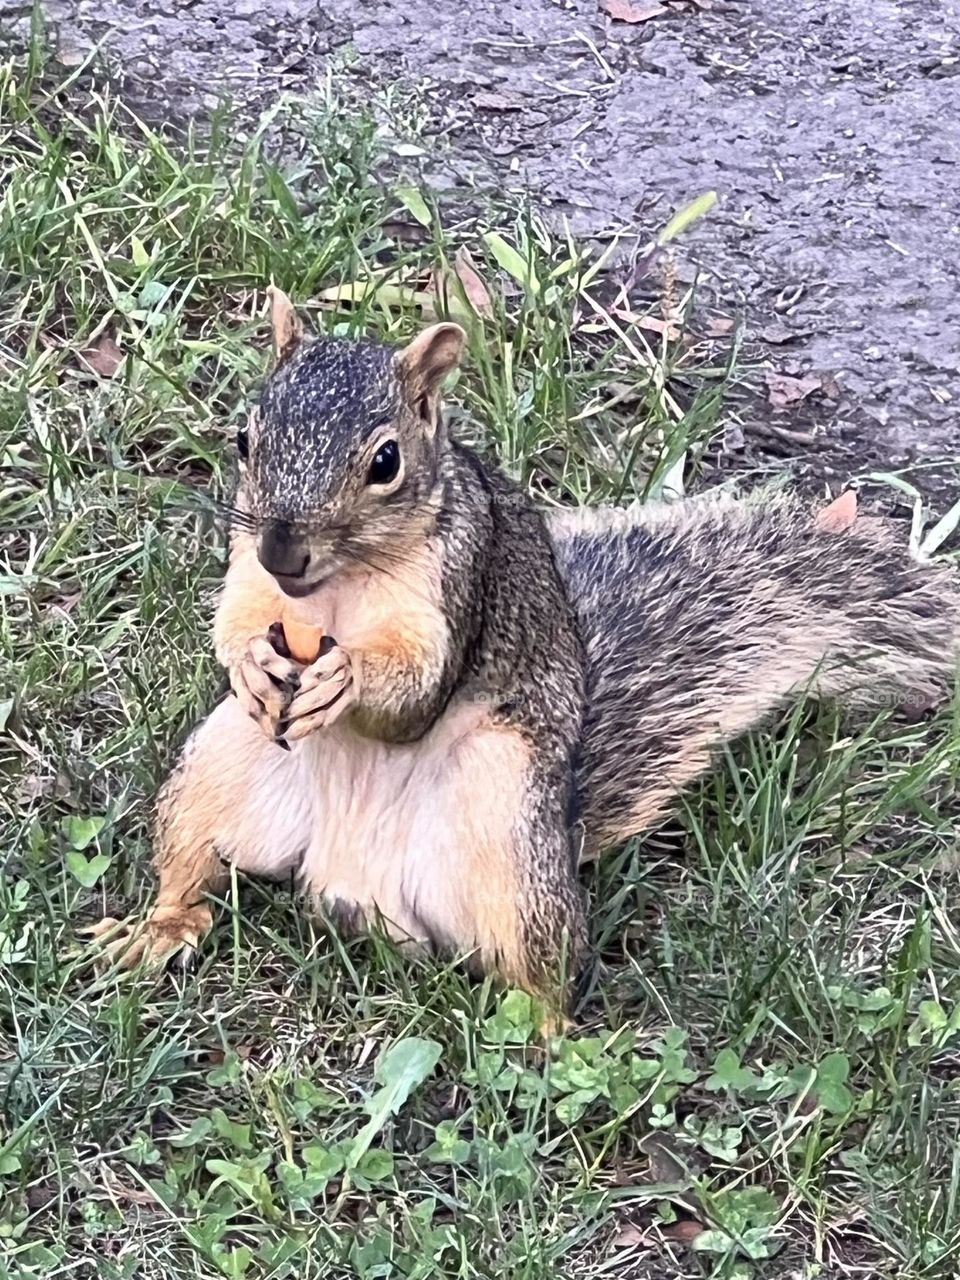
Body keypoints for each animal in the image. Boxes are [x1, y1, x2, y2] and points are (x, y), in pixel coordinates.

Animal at [90, 288, 960, 1026]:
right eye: (245, 439)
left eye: (385, 462)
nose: (282, 550)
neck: (335, 589)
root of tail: (348, 880)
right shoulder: (249, 576)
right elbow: (238, 621)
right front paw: (249, 663)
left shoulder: (461, 583)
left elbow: (413, 695)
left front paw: (348, 675)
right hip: (222, 767)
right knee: (192, 870)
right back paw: (156, 928)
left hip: (506, 830)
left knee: (544, 973)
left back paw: (546, 1040)